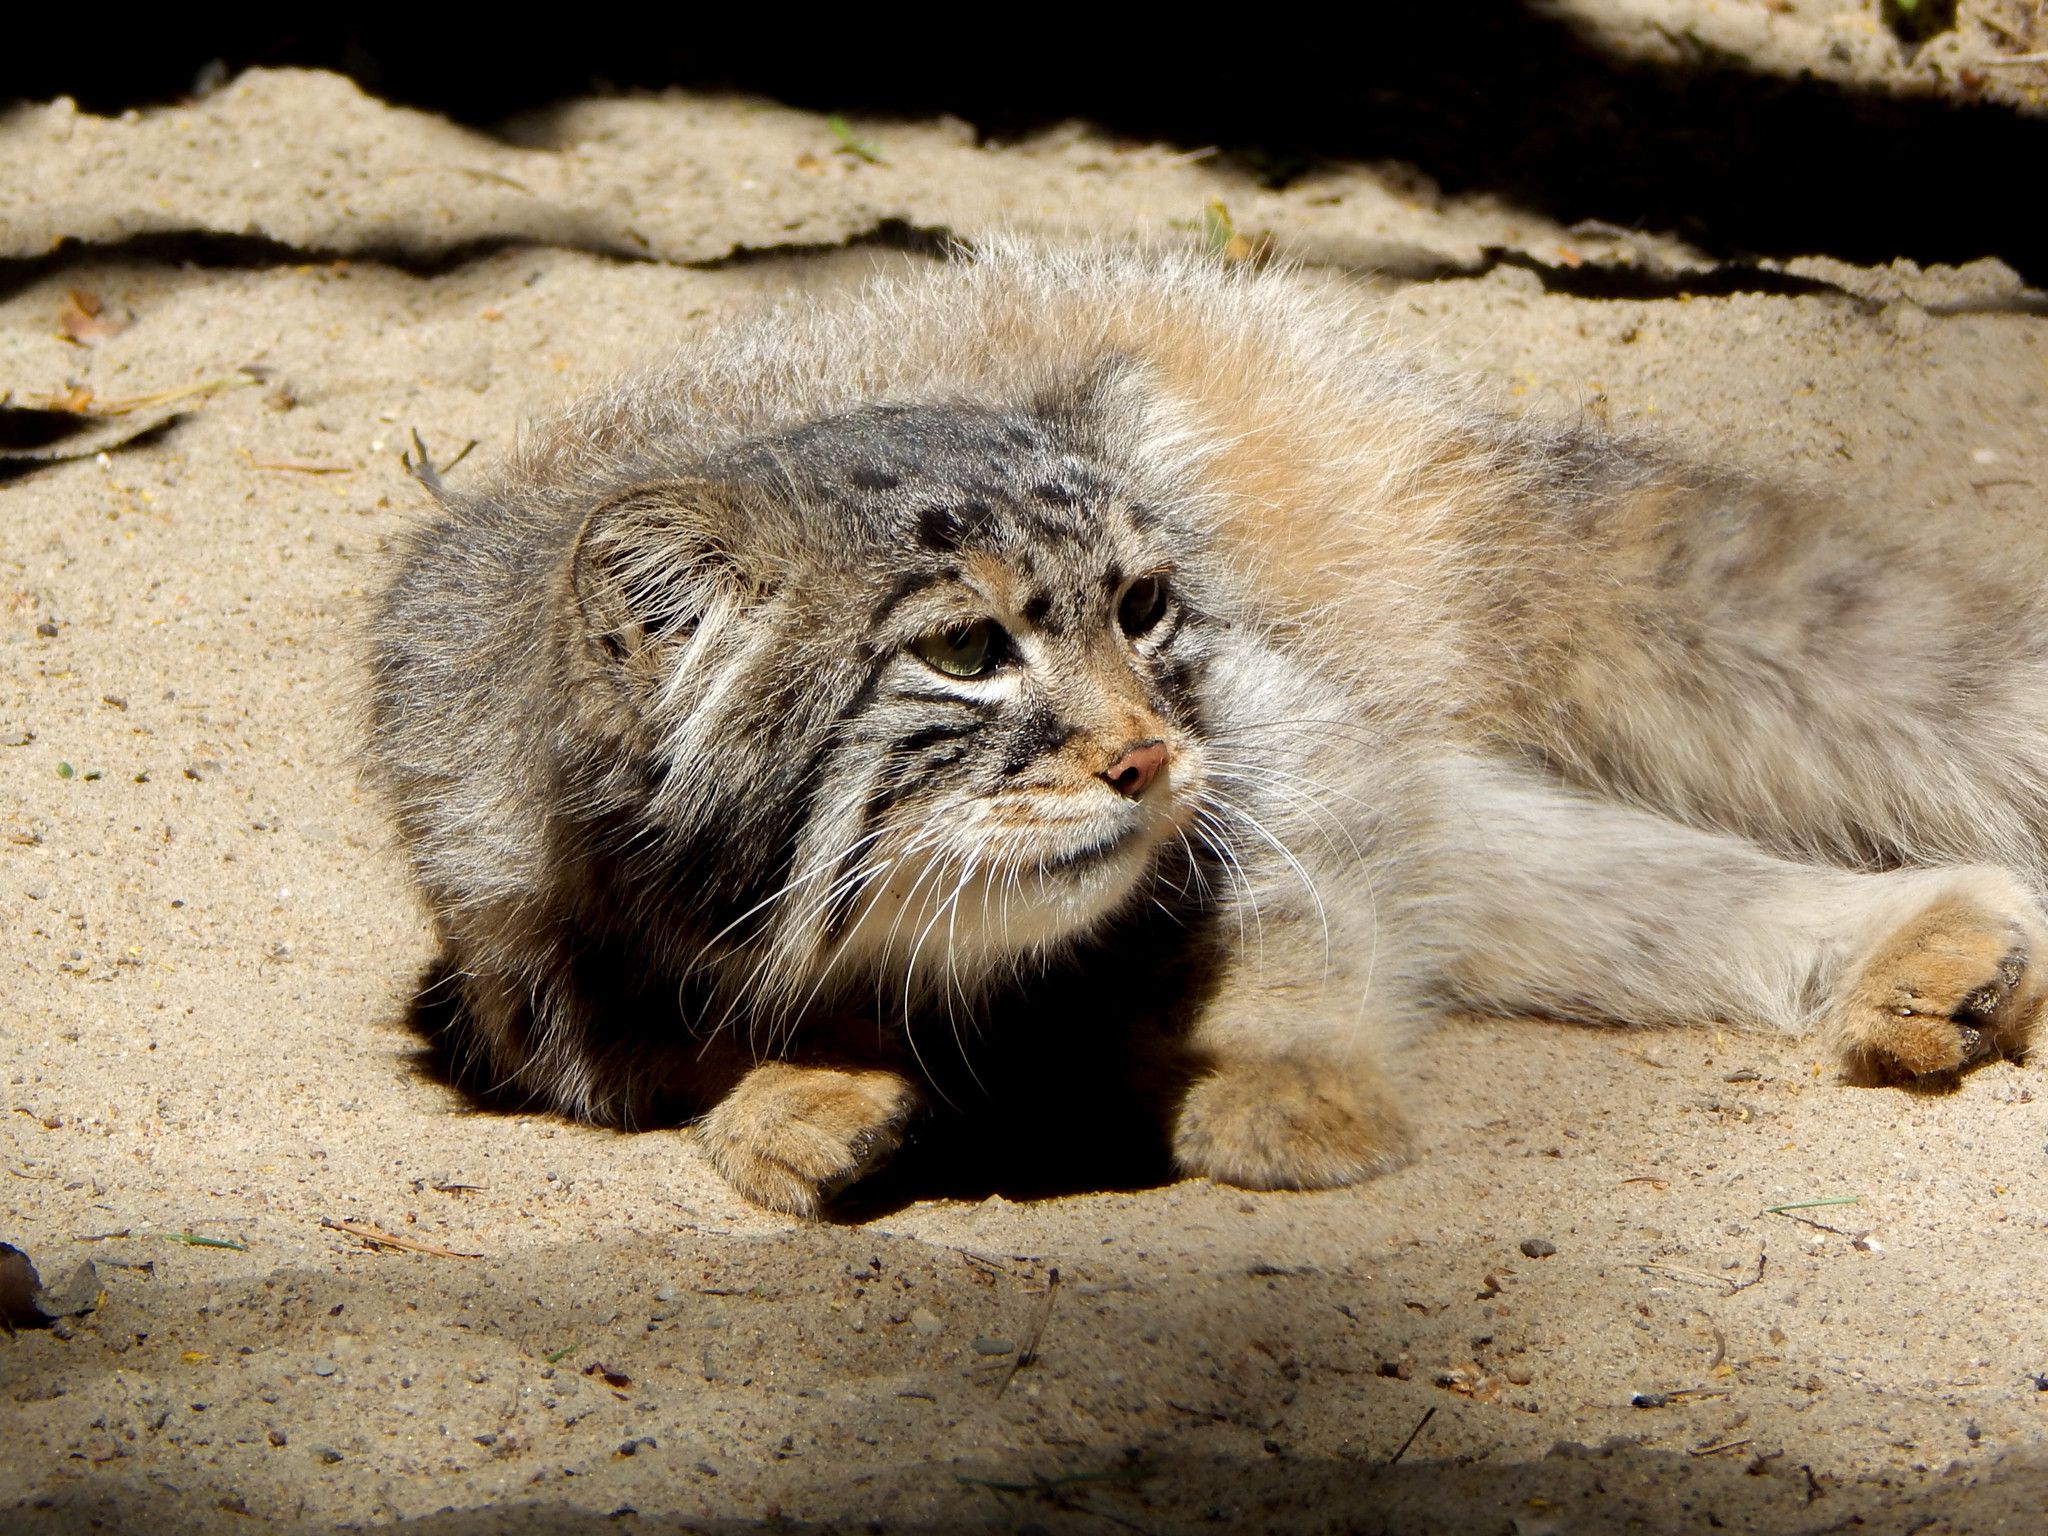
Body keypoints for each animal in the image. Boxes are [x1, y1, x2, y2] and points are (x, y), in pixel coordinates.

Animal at [368, 246, 2048, 1220]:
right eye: (967, 651)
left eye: (1148, 607)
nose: (1147, 760)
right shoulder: (530, 965)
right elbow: (672, 1052)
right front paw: (798, 1091)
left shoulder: (1283, 763)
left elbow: (1298, 936)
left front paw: (1291, 1079)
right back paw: (1936, 951)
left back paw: (1928, 939)